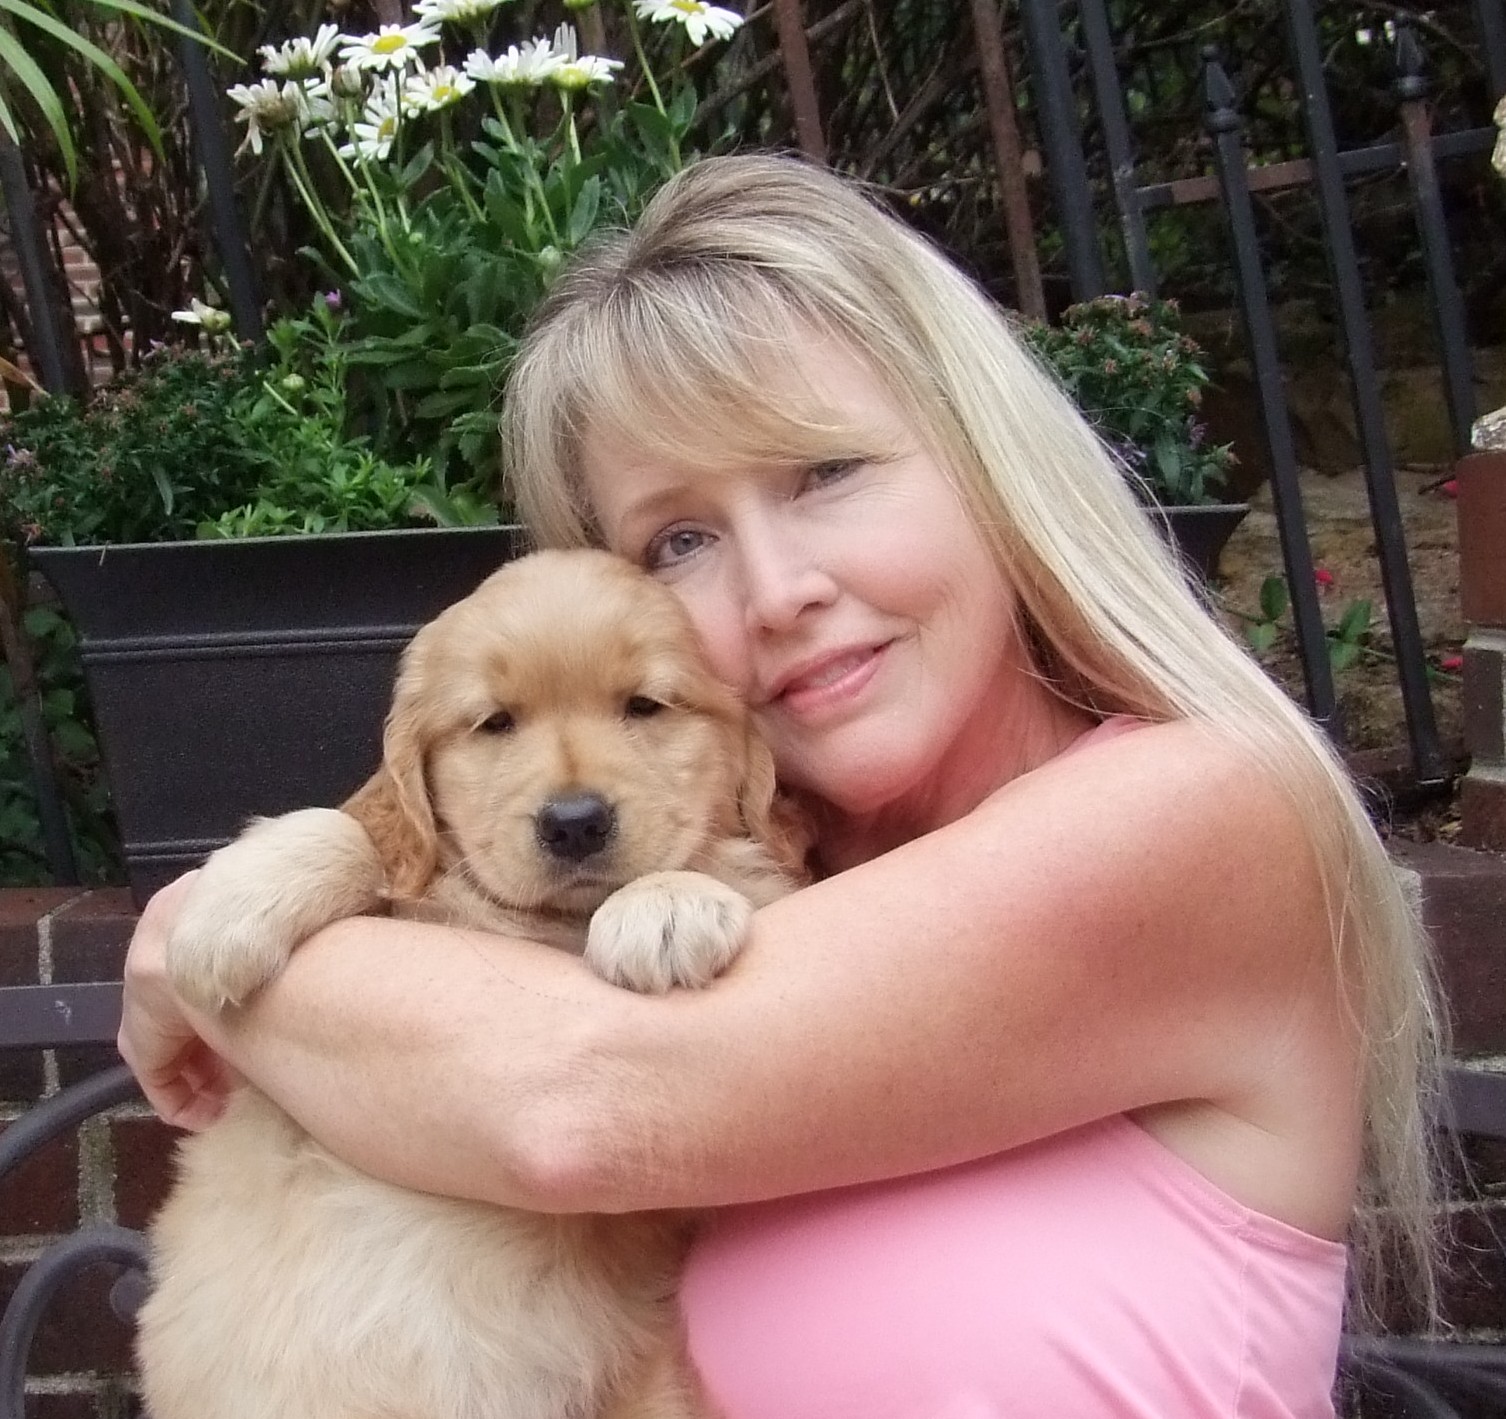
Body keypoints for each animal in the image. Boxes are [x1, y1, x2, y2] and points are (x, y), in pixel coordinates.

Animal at [135, 548, 804, 1419]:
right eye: (495, 722)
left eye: (645, 706)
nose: (575, 821)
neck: (544, 925)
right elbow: (360, 831)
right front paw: (227, 907)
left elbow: (725, 865)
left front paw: (666, 903)